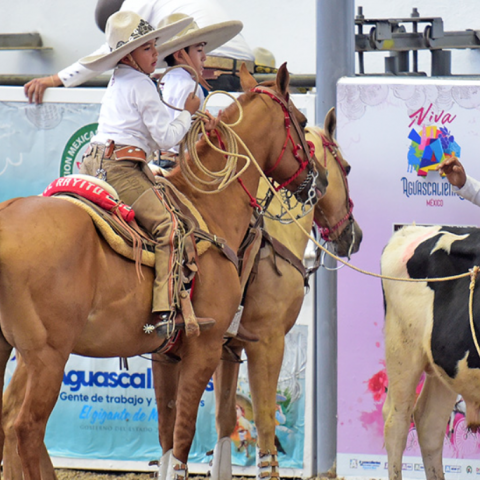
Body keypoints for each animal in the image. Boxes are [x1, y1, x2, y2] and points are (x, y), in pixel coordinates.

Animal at [0, 63, 328, 480]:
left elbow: (169, 434)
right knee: (24, 427)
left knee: (8, 420)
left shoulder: (170, 355)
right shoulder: (206, 347)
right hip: (46, 356)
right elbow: (184, 436)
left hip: (13, 350)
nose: (320, 180)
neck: (213, 208)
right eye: (300, 122)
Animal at [196, 108, 364, 480]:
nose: (354, 235)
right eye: (346, 167)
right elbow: (265, 424)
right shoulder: (267, 342)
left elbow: (224, 423)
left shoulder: (227, 349)